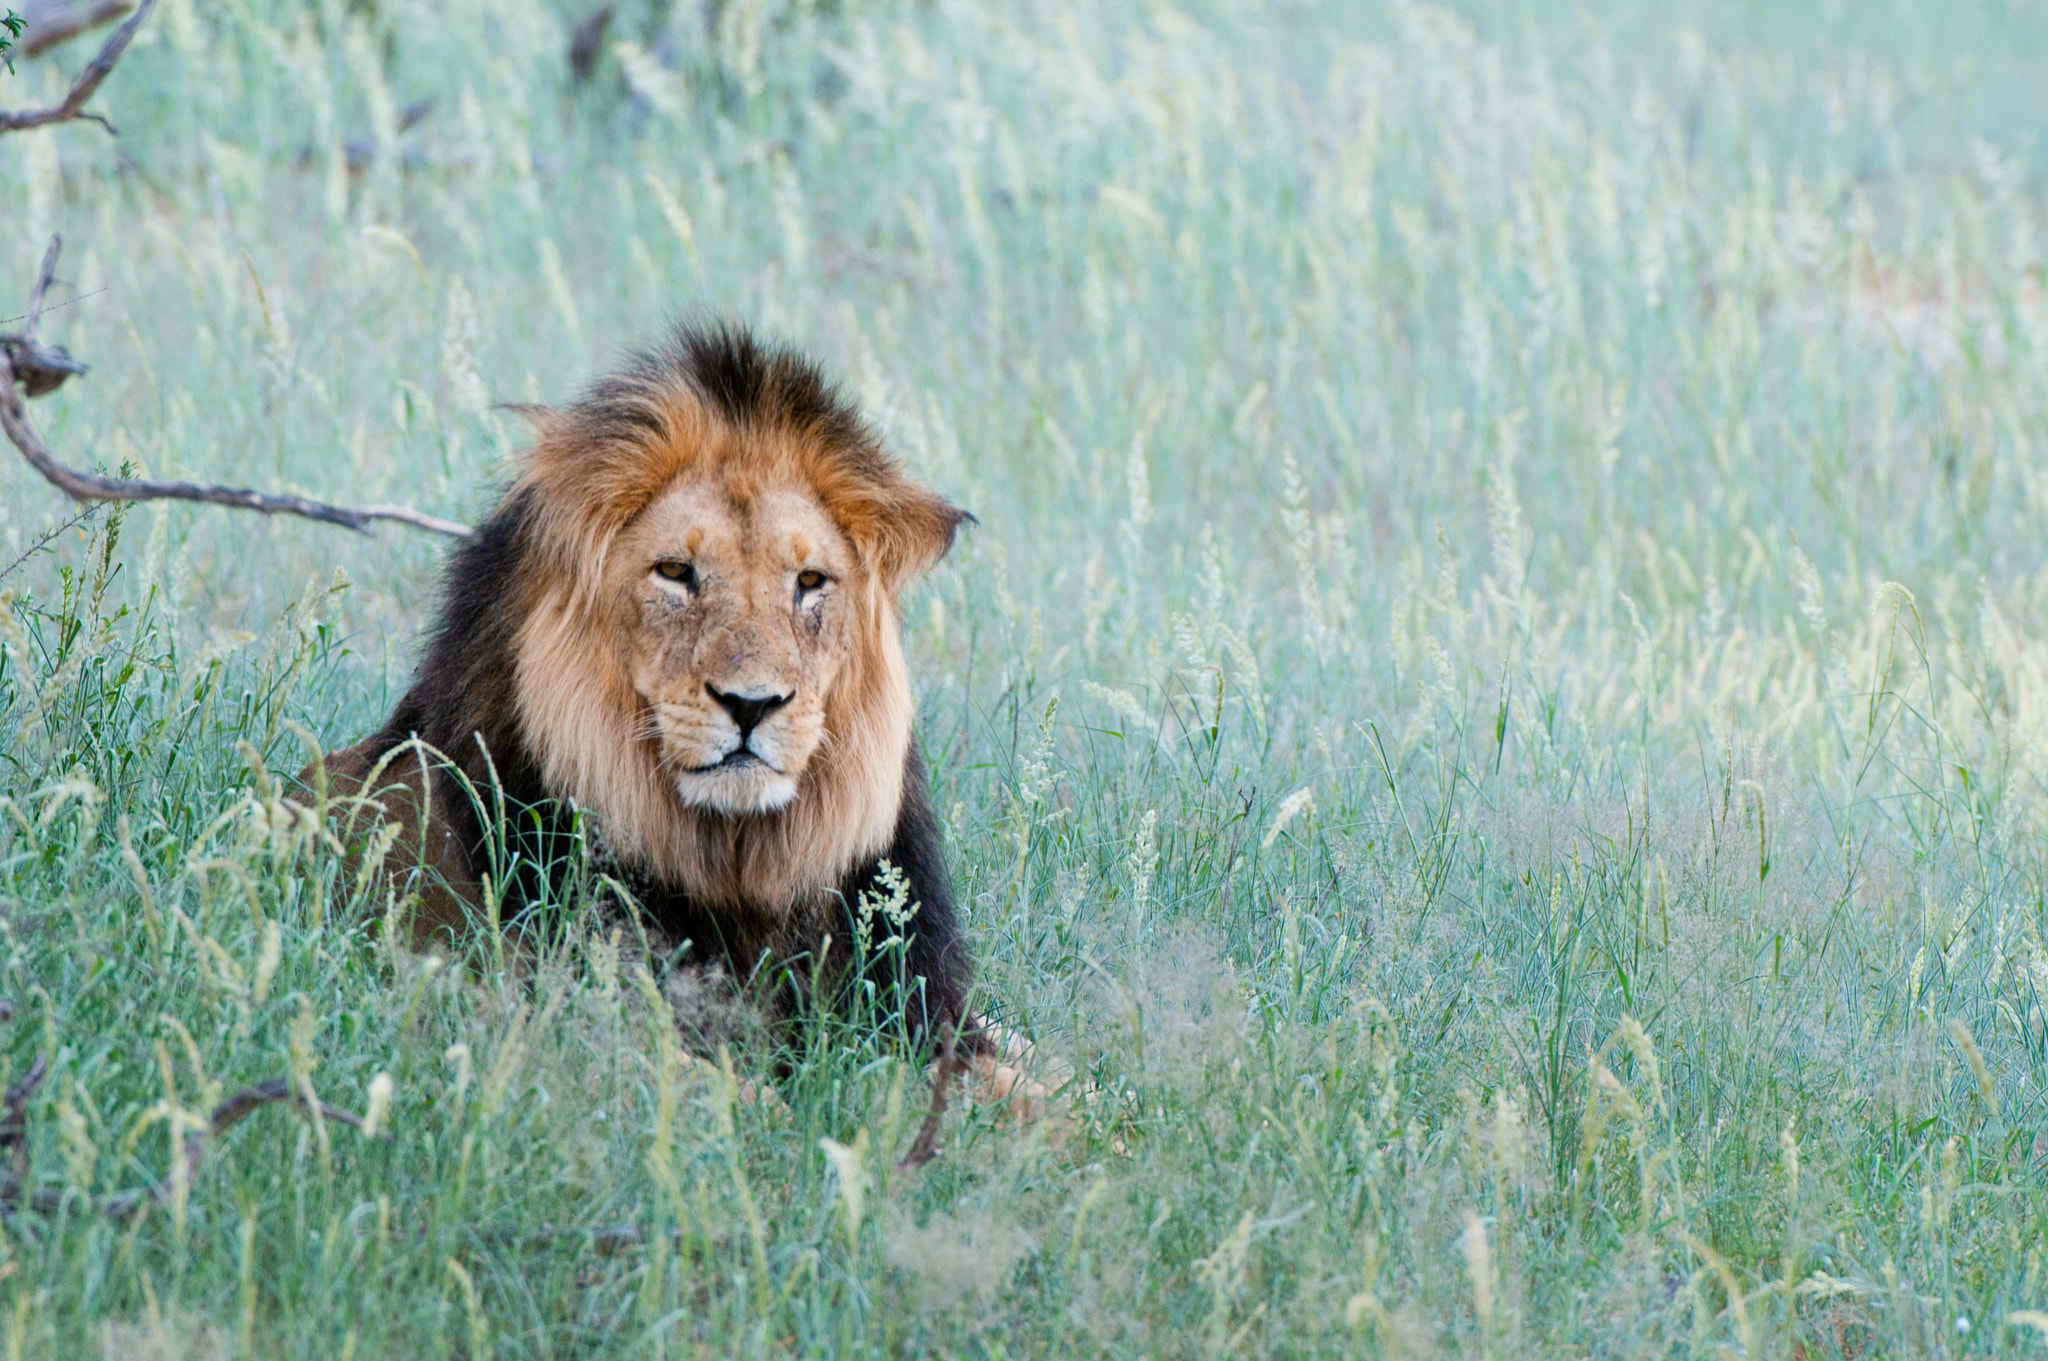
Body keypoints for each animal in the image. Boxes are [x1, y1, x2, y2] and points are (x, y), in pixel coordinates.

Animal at [303, 323, 1040, 1121]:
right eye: (676, 573)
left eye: (810, 583)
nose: (752, 703)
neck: (741, 872)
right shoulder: (571, 1028)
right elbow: (771, 1109)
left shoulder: (926, 1019)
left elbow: (1057, 1092)